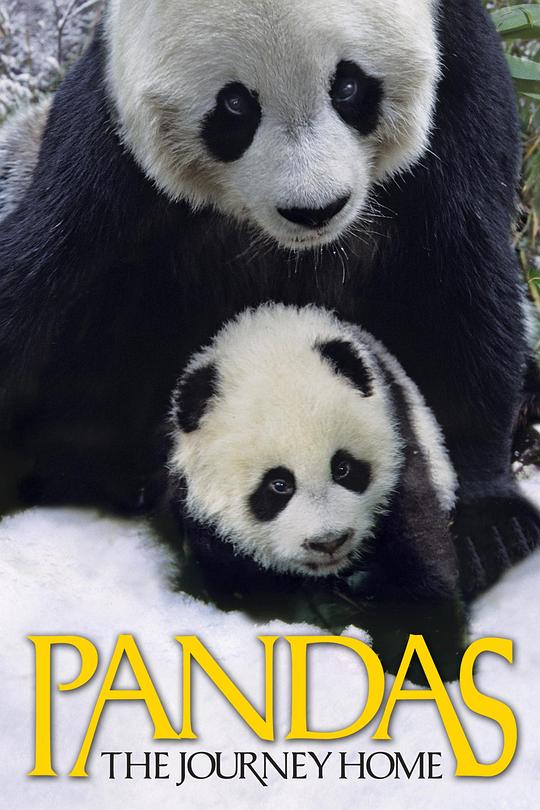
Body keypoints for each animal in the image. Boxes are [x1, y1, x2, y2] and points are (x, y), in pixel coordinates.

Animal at [0, 0, 537, 599]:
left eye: (349, 86)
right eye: (235, 103)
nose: (315, 209)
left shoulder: (462, 87)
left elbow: (459, 283)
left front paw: (490, 525)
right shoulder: (110, 139)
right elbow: (46, 276)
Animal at [163, 304, 465, 677]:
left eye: (343, 468)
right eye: (279, 485)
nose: (329, 542)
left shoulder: (401, 456)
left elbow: (418, 558)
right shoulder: (203, 520)